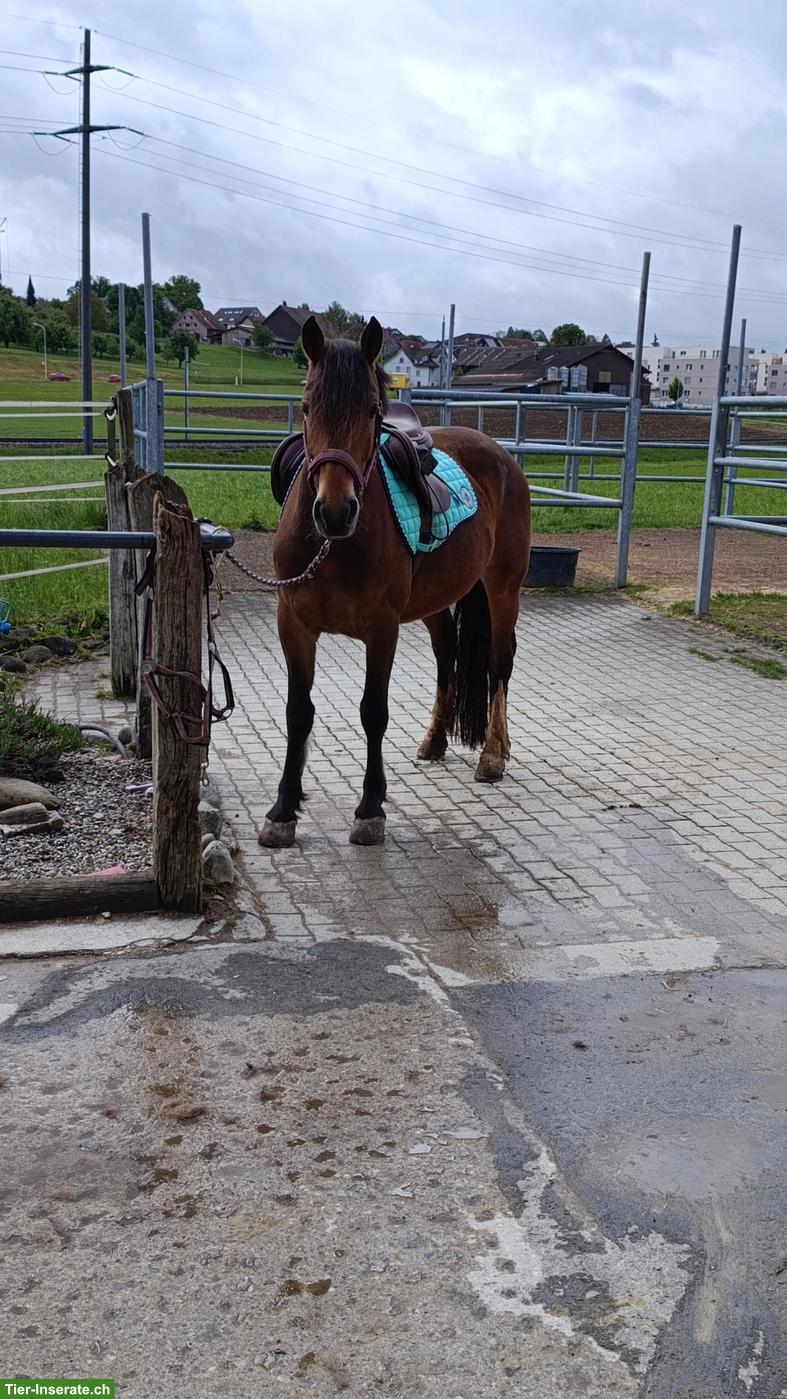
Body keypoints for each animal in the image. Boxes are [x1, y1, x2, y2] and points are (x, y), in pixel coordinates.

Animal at [259, 315, 531, 849]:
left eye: (371, 411)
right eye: (307, 407)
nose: (335, 511)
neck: (334, 547)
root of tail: (501, 456)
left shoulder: (381, 629)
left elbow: (373, 711)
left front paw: (370, 808)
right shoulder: (293, 624)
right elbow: (298, 711)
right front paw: (283, 810)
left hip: (503, 588)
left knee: (499, 661)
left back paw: (493, 753)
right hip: (436, 601)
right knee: (447, 656)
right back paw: (435, 739)